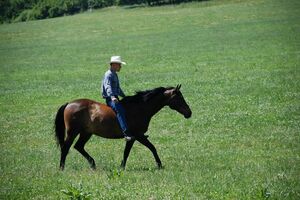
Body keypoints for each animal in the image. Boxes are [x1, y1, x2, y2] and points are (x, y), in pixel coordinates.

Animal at [54, 84, 191, 170]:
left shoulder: (135, 137)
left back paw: (93, 164)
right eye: (179, 97)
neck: (140, 108)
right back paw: (61, 168)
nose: (189, 113)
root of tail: (69, 104)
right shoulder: (137, 136)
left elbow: (129, 152)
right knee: (65, 148)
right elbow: (150, 148)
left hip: (86, 133)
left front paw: (122, 167)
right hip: (73, 132)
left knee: (78, 147)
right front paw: (159, 165)